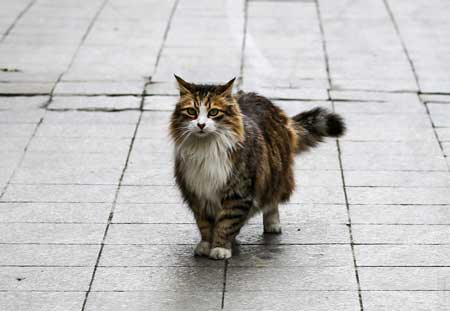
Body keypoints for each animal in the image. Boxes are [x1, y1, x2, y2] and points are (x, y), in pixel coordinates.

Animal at [169, 75, 344, 260]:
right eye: (192, 112)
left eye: (213, 112)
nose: (201, 125)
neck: (206, 148)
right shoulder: (197, 192)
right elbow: (204, 225)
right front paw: (206, 245)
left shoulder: (238, 192)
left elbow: (226, 223)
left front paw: (220, 248)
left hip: (276, 175)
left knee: (272, 202)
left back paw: (272, 225)